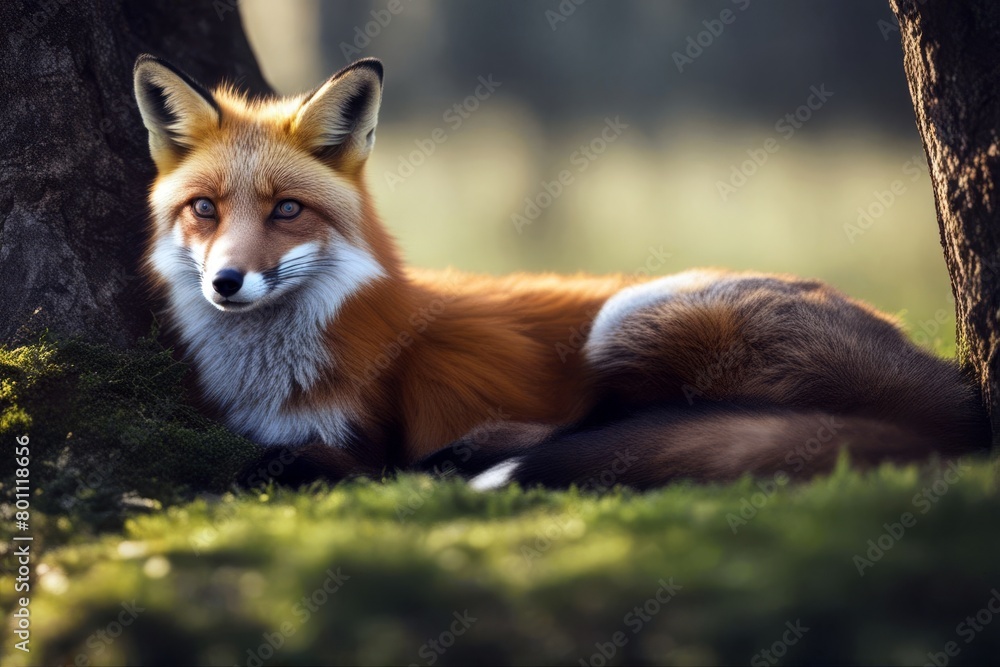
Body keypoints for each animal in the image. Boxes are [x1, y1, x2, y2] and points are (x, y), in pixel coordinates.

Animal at [132, 55, 990, 490]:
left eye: (286, 210)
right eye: (205, 209)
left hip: (629, 320)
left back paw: (473, 459)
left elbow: (311, 460)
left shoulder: (367, 437)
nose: (227, 282)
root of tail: (955, 397)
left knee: (606, 429)